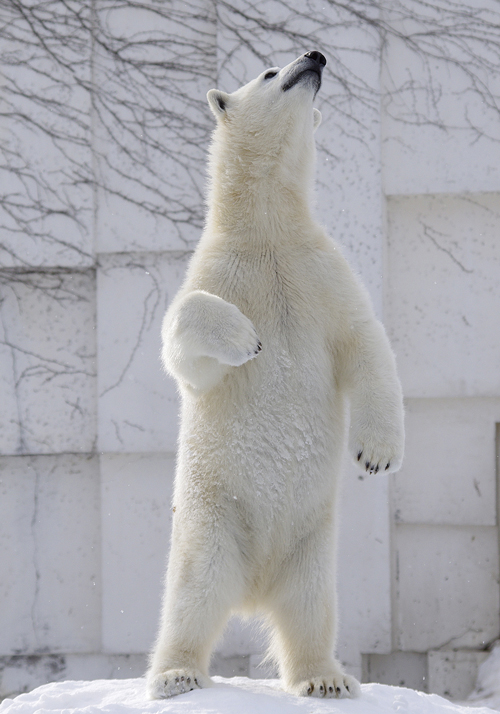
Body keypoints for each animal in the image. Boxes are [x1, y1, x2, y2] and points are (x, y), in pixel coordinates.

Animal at [146, 51, 404, 700]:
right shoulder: (222, 270)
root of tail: (254, 590)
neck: (268, 233)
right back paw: (177, 674)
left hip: (311, 544)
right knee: (192, 596)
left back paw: (326, 678)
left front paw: (377, 455)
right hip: (213, 521)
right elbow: (184, 340)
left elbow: (366, 343)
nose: (314, 56)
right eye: (267, 73)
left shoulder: (322, 273)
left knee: (311, 608)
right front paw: (246, 338)